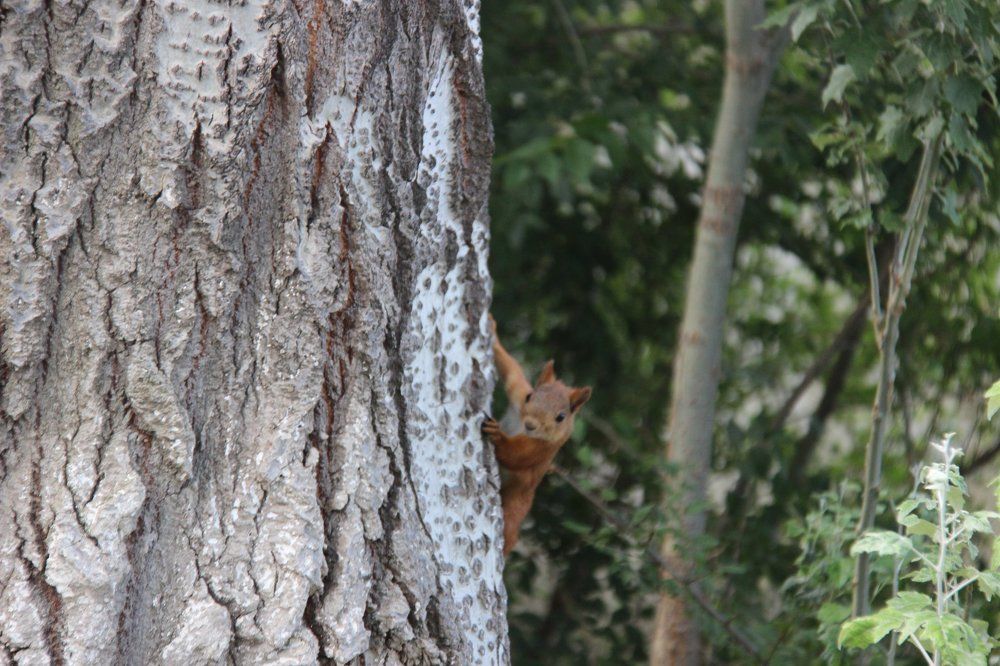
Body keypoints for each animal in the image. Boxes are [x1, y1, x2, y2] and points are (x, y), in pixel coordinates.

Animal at [482, 315, 592, 557]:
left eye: (561, 417)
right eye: (530, 396)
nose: (530, 424)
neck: (521, 428)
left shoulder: (543, 449)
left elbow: (517, 457)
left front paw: (498, 436)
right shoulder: (518, 394)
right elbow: (511, 370)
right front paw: (492, 331)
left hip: (514, 506)